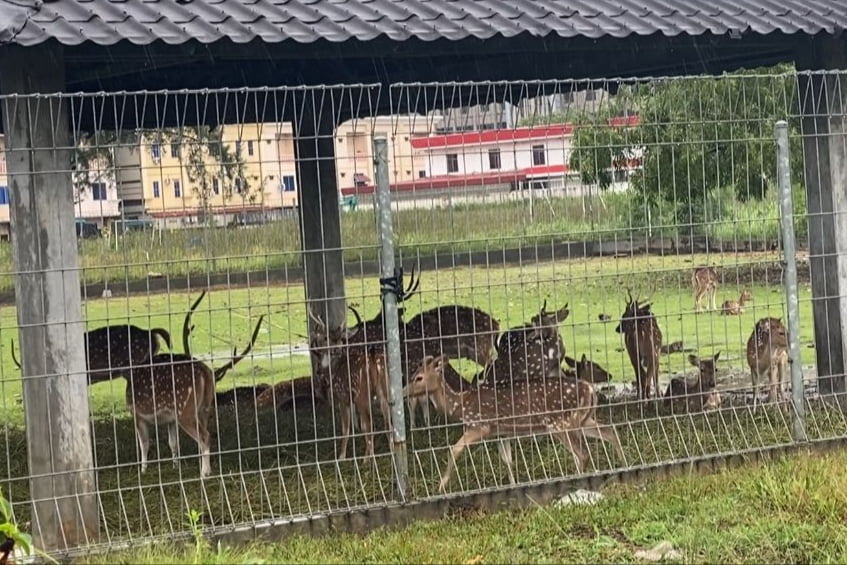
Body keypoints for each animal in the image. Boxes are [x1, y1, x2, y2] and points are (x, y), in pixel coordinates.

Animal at [408, 354, 628, 492]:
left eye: (418, 377)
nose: (404, 391)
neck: (459, 406)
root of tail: (590, 389)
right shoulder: (501, 433)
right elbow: (508, 460)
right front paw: (513, 485)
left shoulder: (480, 425)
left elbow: (455, 449)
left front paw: (440, 487)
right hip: (582, 419)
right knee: (608, 431)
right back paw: (623, 465)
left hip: (560, 422)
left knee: (581, 453)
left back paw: (574, 480)